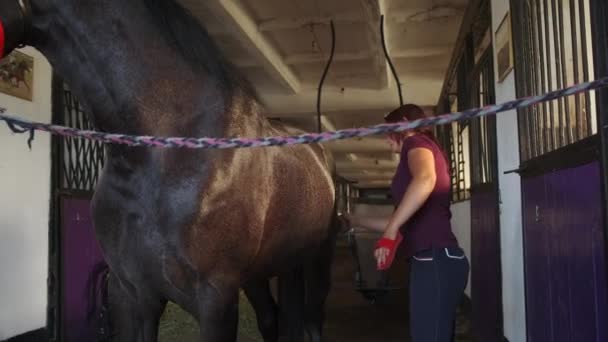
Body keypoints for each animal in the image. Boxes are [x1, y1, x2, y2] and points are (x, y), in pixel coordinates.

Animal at [1, 0, 342, 340]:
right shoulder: (128, 292)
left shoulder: (216, 299)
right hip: (264, 271)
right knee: (271, 318)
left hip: (318, 261)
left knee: (312, 321)